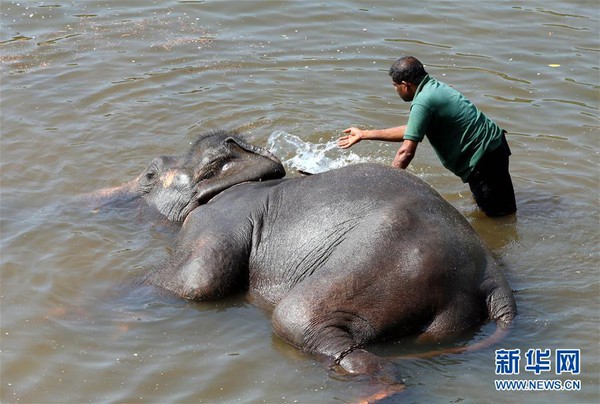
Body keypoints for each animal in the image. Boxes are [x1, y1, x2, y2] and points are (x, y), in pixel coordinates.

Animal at [88, 130, 516, 394]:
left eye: (149, 173)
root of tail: (491, 279)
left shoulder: (220, 217)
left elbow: (198, 282)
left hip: (387, 258)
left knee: (296, 318)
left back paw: (378, 389)